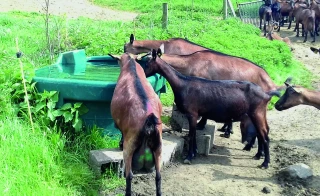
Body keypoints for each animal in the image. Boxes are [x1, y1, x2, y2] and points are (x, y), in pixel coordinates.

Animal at [110, 53, 164, 196]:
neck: (131, 64)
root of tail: (149, 125)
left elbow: (121, 133)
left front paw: (119, 143)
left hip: (129, 148)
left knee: (129, 176)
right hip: (158, 148)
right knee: (158, 176)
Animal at [146, 48, 282, 168]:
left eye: (145, 61)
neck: (183, 83)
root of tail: (267, 94)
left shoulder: (192, 113)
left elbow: (191, 134)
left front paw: (189, 157)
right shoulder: (195, 114)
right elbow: (194, 133)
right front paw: (194, 152)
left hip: (257, 113)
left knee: (265, 135)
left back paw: (265, 163)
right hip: (257, 114)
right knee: (262, 132)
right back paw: (258, 154)